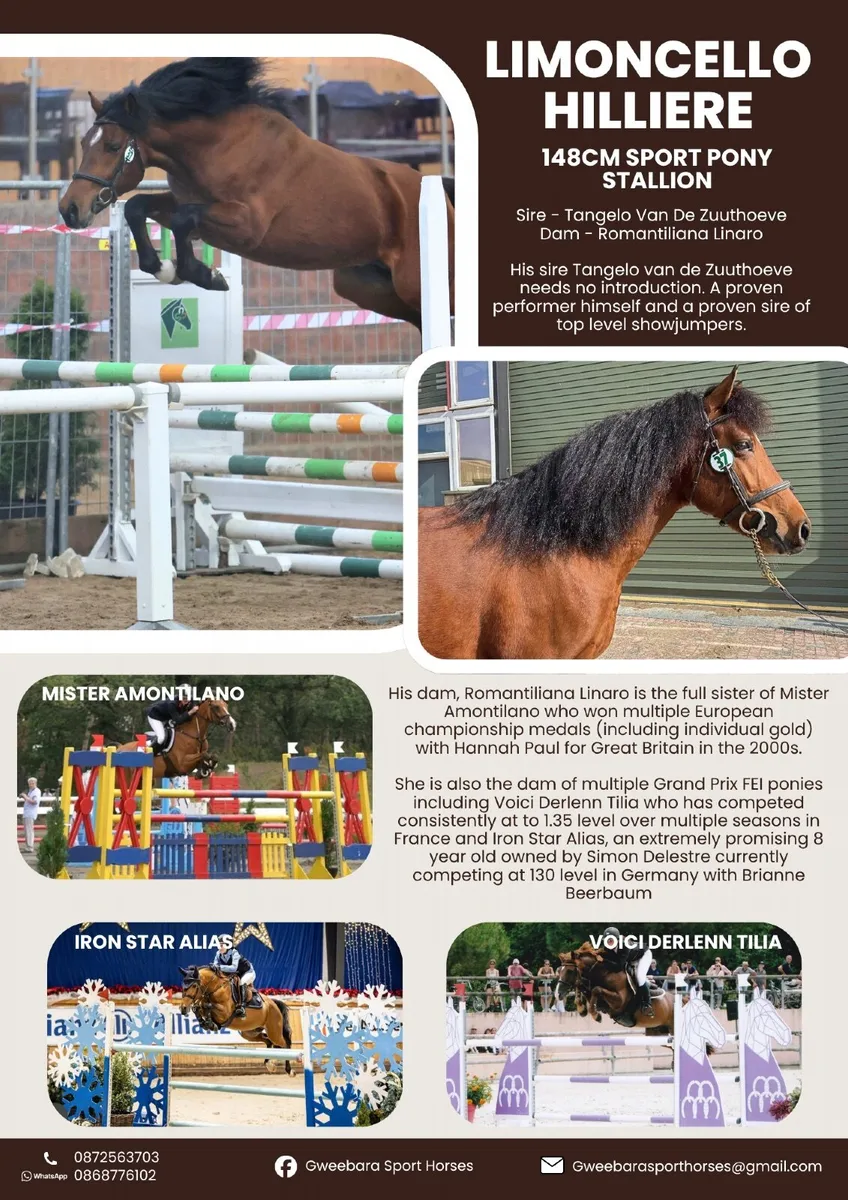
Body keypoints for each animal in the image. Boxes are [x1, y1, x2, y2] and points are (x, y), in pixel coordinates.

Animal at [58, 57, 454, 331]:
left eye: (112, 146)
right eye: (84, 143)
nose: (69, 209)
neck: (216, 147)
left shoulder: (247, 225)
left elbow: (184, 221)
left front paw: (203, 275)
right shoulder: (186, 201)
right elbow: (138, 207)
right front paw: (165, 269)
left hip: (416, 282)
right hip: (365, 285)